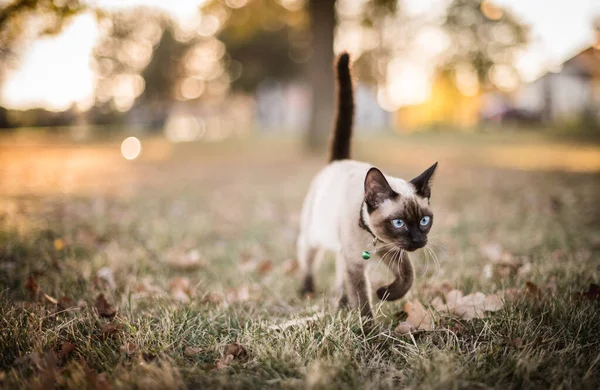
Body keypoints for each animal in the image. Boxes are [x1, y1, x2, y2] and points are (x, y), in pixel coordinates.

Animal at [298, 52, 438, 316]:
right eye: (399, 223)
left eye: (424, 221)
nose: (418, 240)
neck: (373, 241)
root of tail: (339, 161)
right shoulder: (356, 262)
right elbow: (362, 298)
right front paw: (367, 325)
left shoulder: (391, 249)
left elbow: (408, 276)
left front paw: (385, 294)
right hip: (312, 235)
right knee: (308, 260)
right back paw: (307, 291)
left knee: (339, 273)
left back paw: (342, 302)